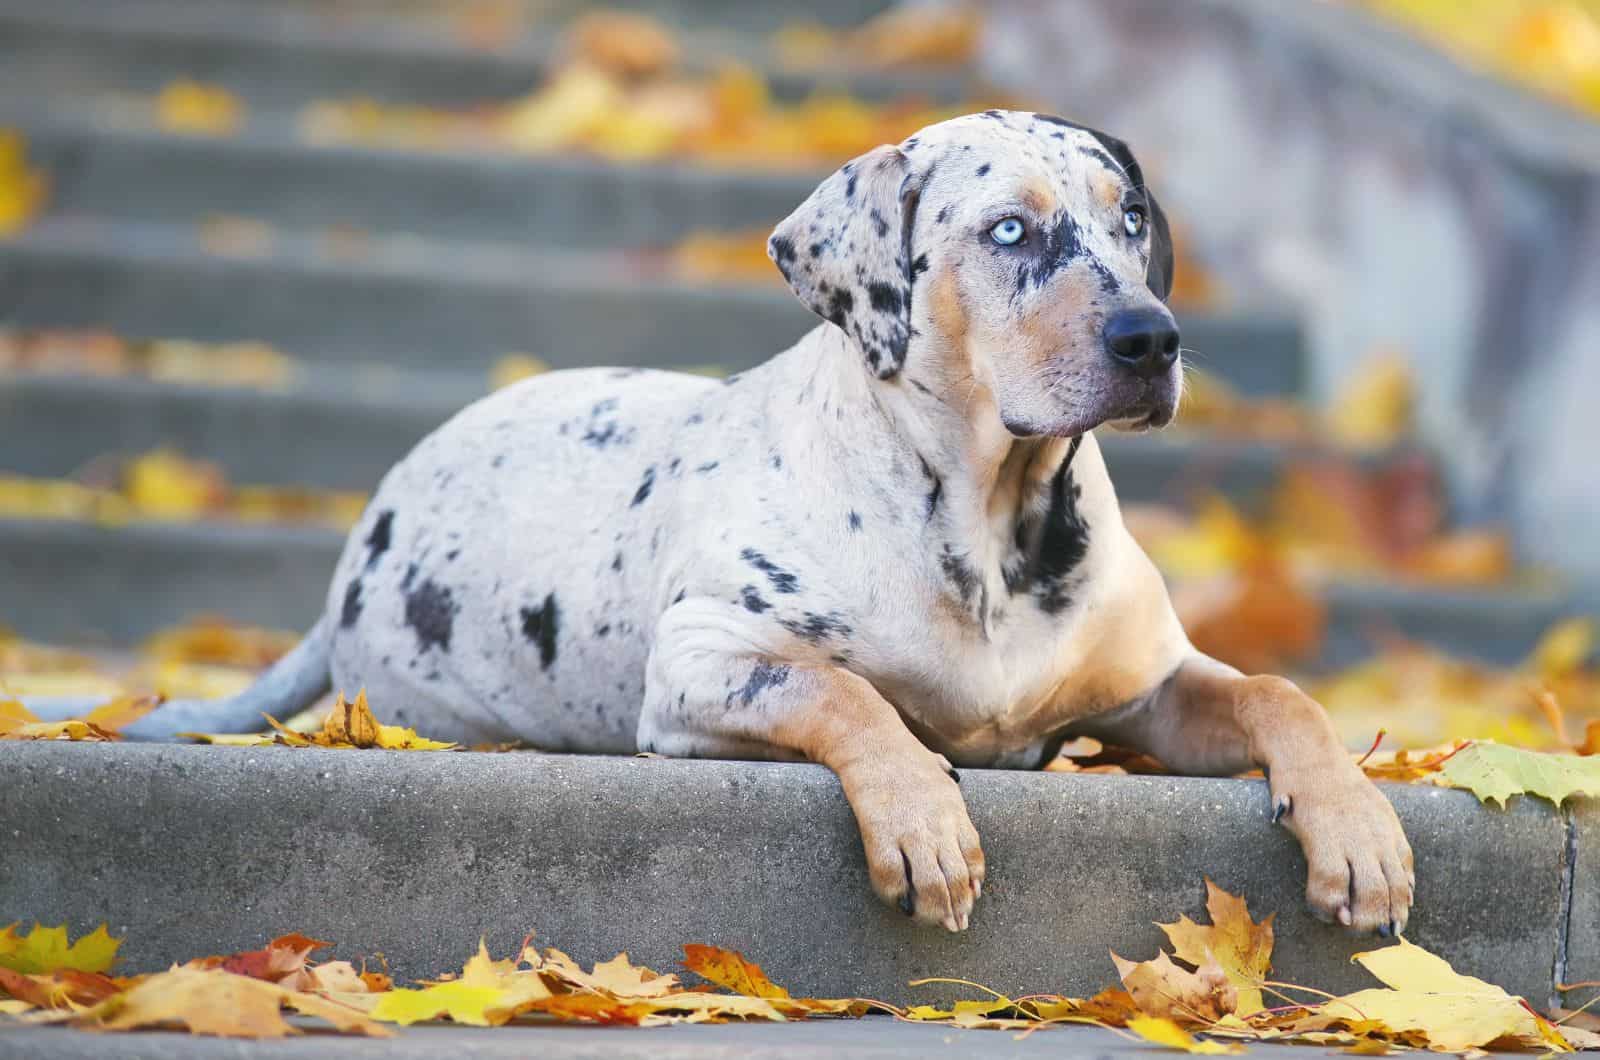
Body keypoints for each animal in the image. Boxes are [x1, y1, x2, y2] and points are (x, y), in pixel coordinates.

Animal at [90, 109, 1414, 941]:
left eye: (1130, 214)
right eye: (1008, 231)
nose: (1152, 339)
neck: (993, 520)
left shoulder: (1150, 686)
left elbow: (1279, 695)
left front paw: (1356, 826)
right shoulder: (702, 665)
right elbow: (847, 693)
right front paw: (923, 819)